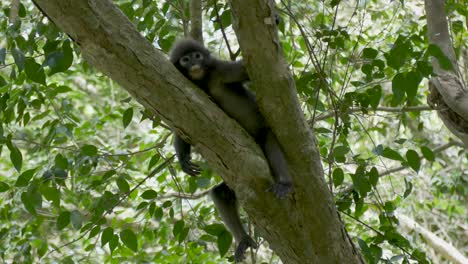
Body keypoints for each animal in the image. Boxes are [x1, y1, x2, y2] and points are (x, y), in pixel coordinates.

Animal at [168, 39, 292, 262]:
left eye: (197, 56)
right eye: (185, 59)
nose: (194, 64)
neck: (204, 79)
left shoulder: (222, 70)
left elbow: (249, 70)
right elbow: (182, 121)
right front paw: (183, 159)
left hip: (264, 136)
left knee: (271, 144)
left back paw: (284, 183)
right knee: (221, 193)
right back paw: (244, 240)